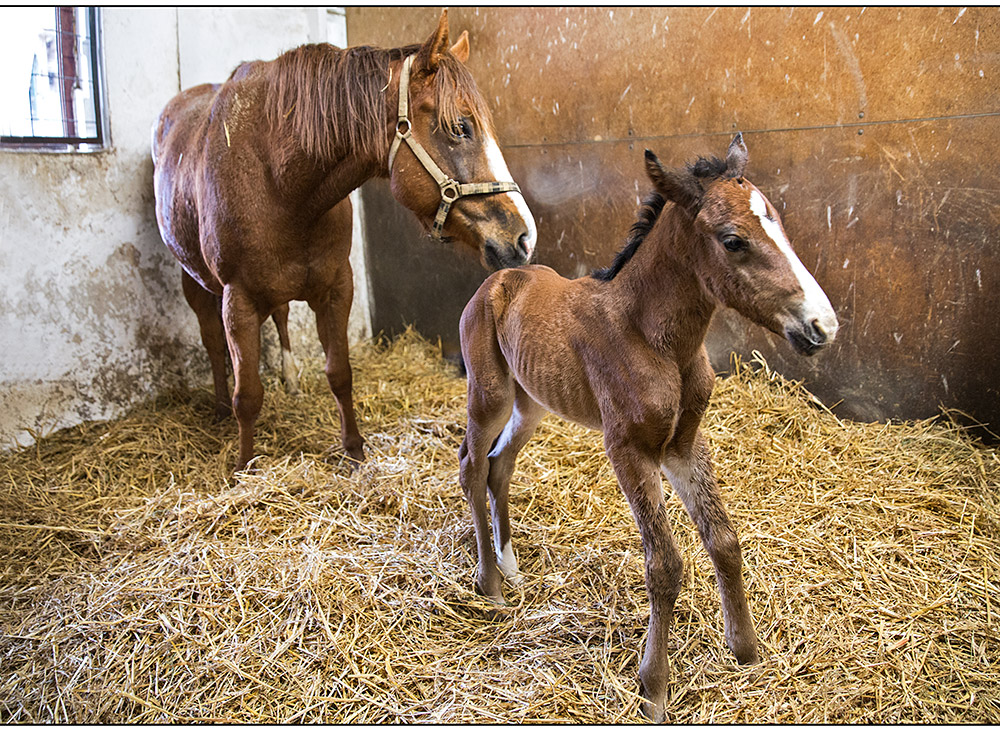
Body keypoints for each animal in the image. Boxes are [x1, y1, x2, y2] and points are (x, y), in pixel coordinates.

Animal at [151, 11, 536, 472]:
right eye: (460, 127)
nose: (523, 236)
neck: (281, 187)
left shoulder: (336, 287)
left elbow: (339, 372)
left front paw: (354, 451)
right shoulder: (237, 301)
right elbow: (249, 394)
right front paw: (245, 466)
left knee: (281, 316)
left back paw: (290, 379)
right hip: (192, 279)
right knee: (212, 342)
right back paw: (222, 408)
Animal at [458, 134, 840, 724]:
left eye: (778, 222)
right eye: (733, 241)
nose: (822, 326)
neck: (653, 338)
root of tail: (498, 279)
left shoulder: (683, 444)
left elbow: (723, 539)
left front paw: (746, 651)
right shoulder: (630, 449)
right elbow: (664, 564)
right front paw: (653, 687)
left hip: (533, 403)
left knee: (501, 465)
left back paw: (513, 570)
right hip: (490, 395)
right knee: (473, 468)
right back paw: (491, 587)